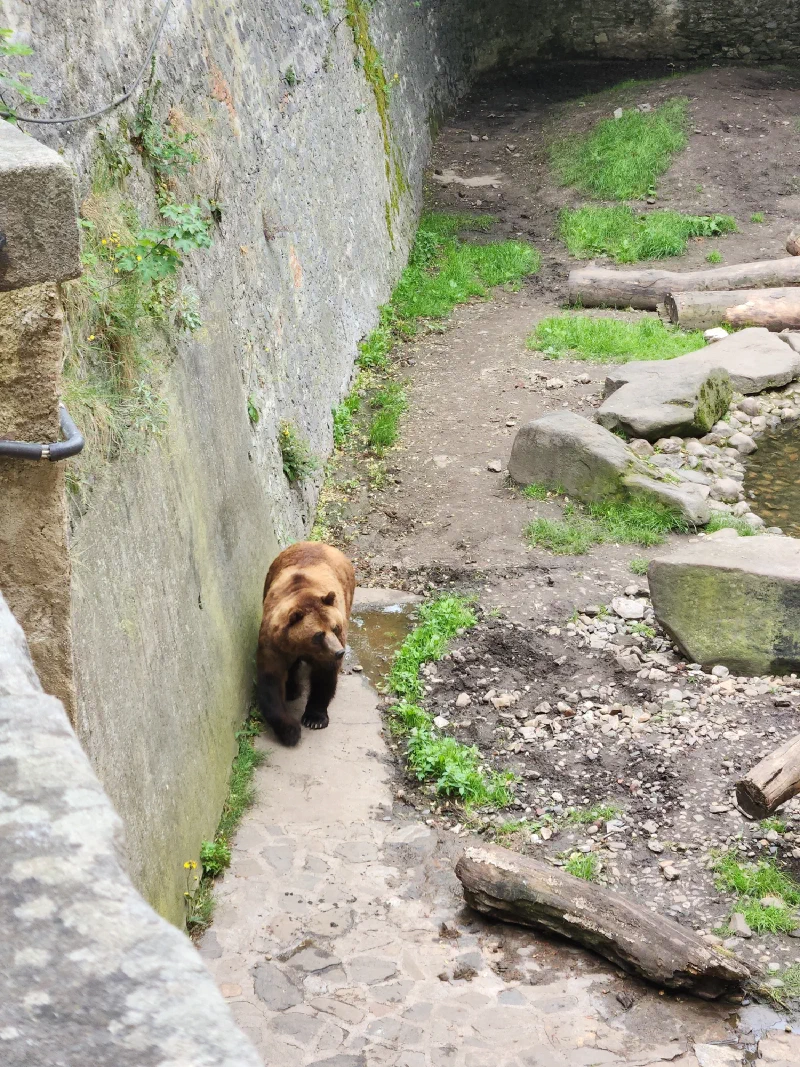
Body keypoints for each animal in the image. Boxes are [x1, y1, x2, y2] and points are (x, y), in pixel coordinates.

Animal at [256, 541, 355, 746]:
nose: (340, 652)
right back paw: (293, 689)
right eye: (318, 634)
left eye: (335, 627)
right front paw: (290, 731)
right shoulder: (273, 645)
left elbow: (324, 677)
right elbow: (271, 682)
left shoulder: (325, 654)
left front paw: (314, 718)